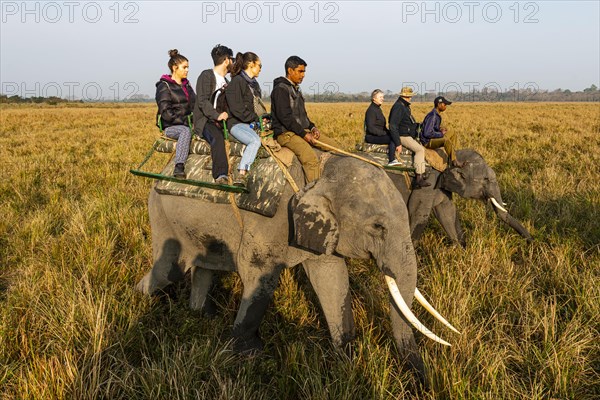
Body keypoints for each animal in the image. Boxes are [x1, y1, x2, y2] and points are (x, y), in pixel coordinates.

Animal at [137, 155, 460, 386]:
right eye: (378, 227)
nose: (423, 384)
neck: (319, 170)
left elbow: (332, 278)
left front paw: (347, 357)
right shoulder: (268, 222)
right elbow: (259, 276)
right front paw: (247, 355)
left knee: (205, 267)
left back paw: (202, 316)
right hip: (160, 212)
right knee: (168, 270)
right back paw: (140, 300)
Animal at [382, 148, 532, 247]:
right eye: (486, 179)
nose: (532, 241)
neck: (453, 157)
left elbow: (447, 211)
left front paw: (460, 249)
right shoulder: (426, 183)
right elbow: (418, 214)